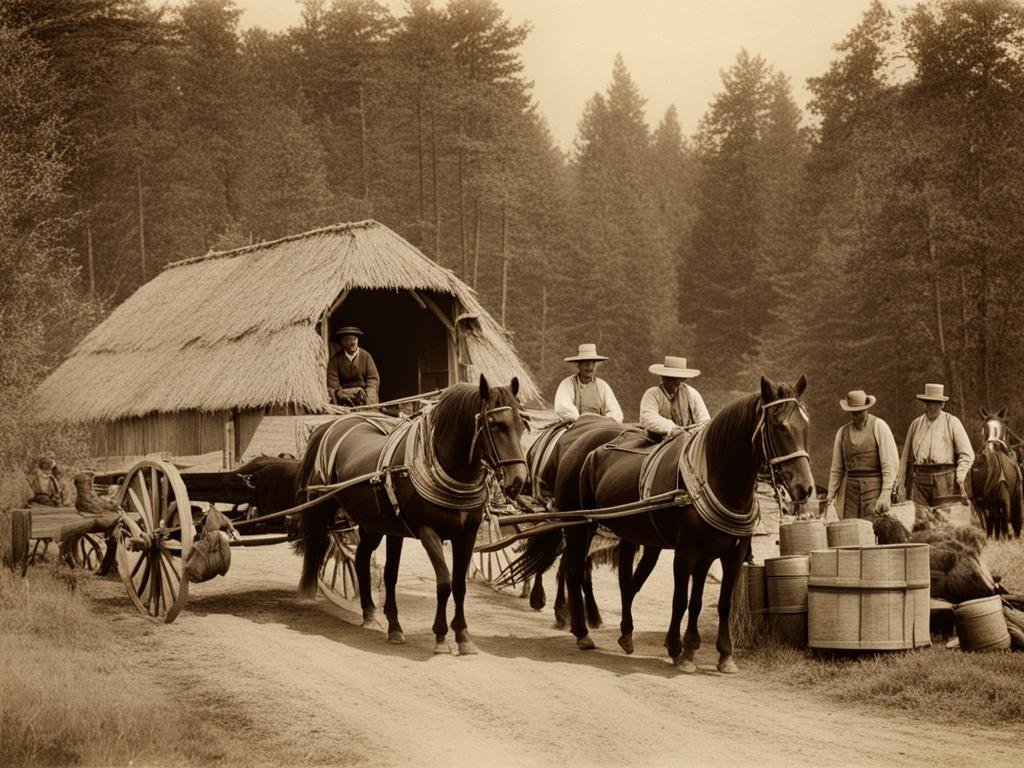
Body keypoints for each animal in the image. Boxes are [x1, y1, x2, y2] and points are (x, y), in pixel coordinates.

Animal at [294, 378, 520, 655]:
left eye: (521, 423)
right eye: (494, 424)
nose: (518, 480)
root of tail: (332, 424)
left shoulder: (467, 534)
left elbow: (459, 584)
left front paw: (463, 637)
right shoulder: (427, 531)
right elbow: (443, 582)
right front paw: (440, 636)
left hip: (375, 524)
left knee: (362, 558)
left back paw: (371, 614)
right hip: (322, 506)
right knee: (318, 545)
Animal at [516, 376, 811, 671]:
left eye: (805, 425)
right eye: (779, 425)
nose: (805, 487)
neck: (715, 479)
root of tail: (577, 441)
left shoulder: (728, 554)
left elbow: (715, 601)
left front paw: (720, 654)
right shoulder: (686, 552)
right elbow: (681, 599)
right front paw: (679, 649)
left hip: (631, 533)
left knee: (626, 581)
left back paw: (624, 633)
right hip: (578, 523)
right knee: (575, 568)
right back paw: (581, 630)